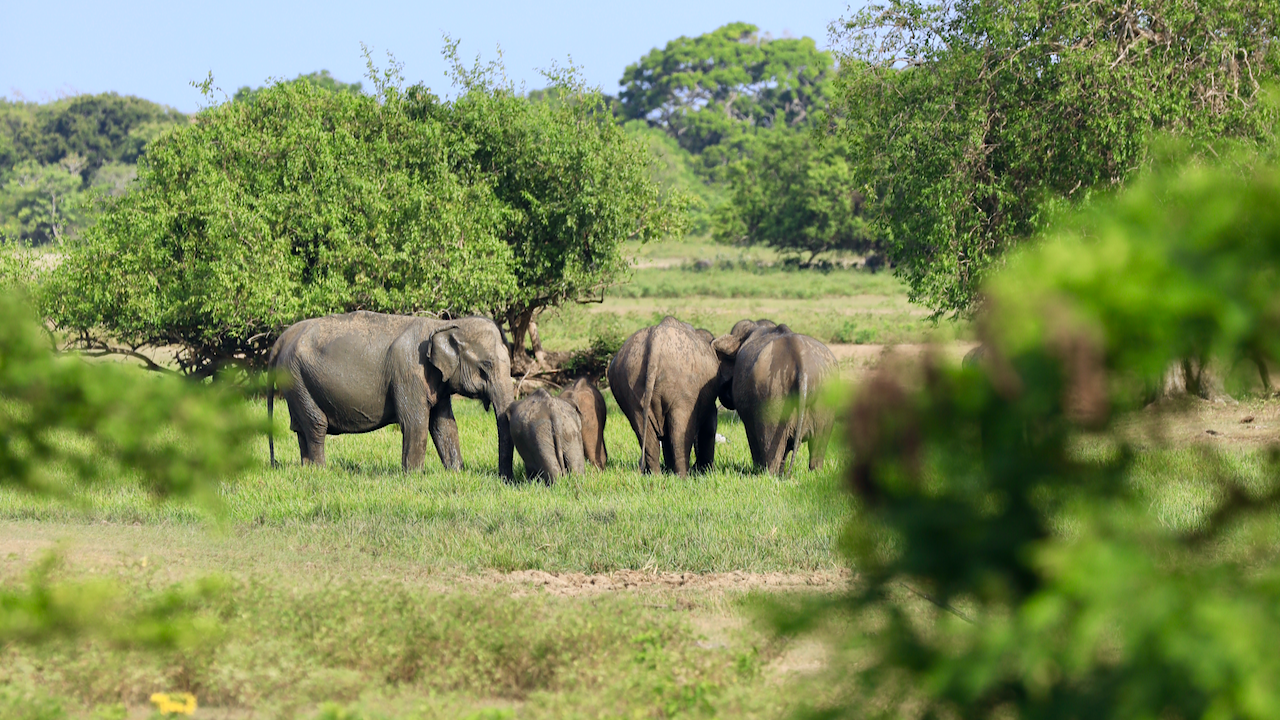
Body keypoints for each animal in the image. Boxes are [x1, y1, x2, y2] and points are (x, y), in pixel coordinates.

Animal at [268, 308, 514, 476]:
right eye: (486, 366)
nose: (503, 478)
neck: (444, 324)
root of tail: (283, 337)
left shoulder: (438, 383)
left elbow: (444, 425)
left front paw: (456, 473)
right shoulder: (408, 373)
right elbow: (416, 423)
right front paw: (414, 477)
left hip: (296, 381)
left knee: (301, 427)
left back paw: (307, 469)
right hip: (295, 376)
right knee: (316, 425)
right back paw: (320, 471)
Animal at [606, 315, 727, 476]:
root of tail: (655, 341)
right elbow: (709, 426)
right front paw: (706, 472)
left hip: (627, 384)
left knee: (644, 430)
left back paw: (656, 475)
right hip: (683, 388)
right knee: (679, 432)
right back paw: (682, 476)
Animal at [711, 316, 839, 474]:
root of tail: (802, 364)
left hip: (771, 398)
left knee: (769, 445)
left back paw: (766, 474)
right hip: (825, 396)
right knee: (819, 445)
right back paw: (814, 472)